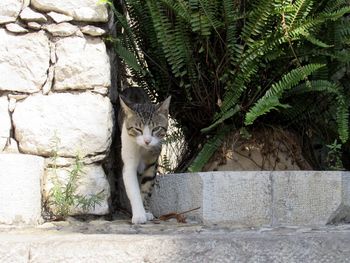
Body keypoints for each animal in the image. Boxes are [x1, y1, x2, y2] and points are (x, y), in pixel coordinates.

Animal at [119, 88, 171, 225]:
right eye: (138, 129)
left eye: (156, 128)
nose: (147, 141)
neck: (142, 149)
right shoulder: (129, 161)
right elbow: (133, 190)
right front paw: (138, 215)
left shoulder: (152, 164)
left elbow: (147, 187)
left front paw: (146, 212)